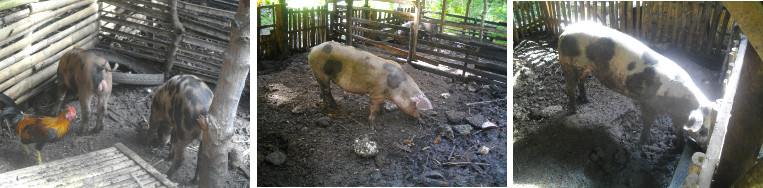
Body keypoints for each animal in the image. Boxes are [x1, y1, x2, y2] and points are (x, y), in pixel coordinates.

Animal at [556, 22, 716, 148]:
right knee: (569, 86)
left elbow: (678, 129)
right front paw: (644, 143)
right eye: (703, 130)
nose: (705, 146)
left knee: (581, 81)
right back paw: (576, 111)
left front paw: (680, 144)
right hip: (569, 63)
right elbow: (647, 123)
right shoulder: (647, 103)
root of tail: (565, 32)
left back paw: (587, 101)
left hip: (586, 67)